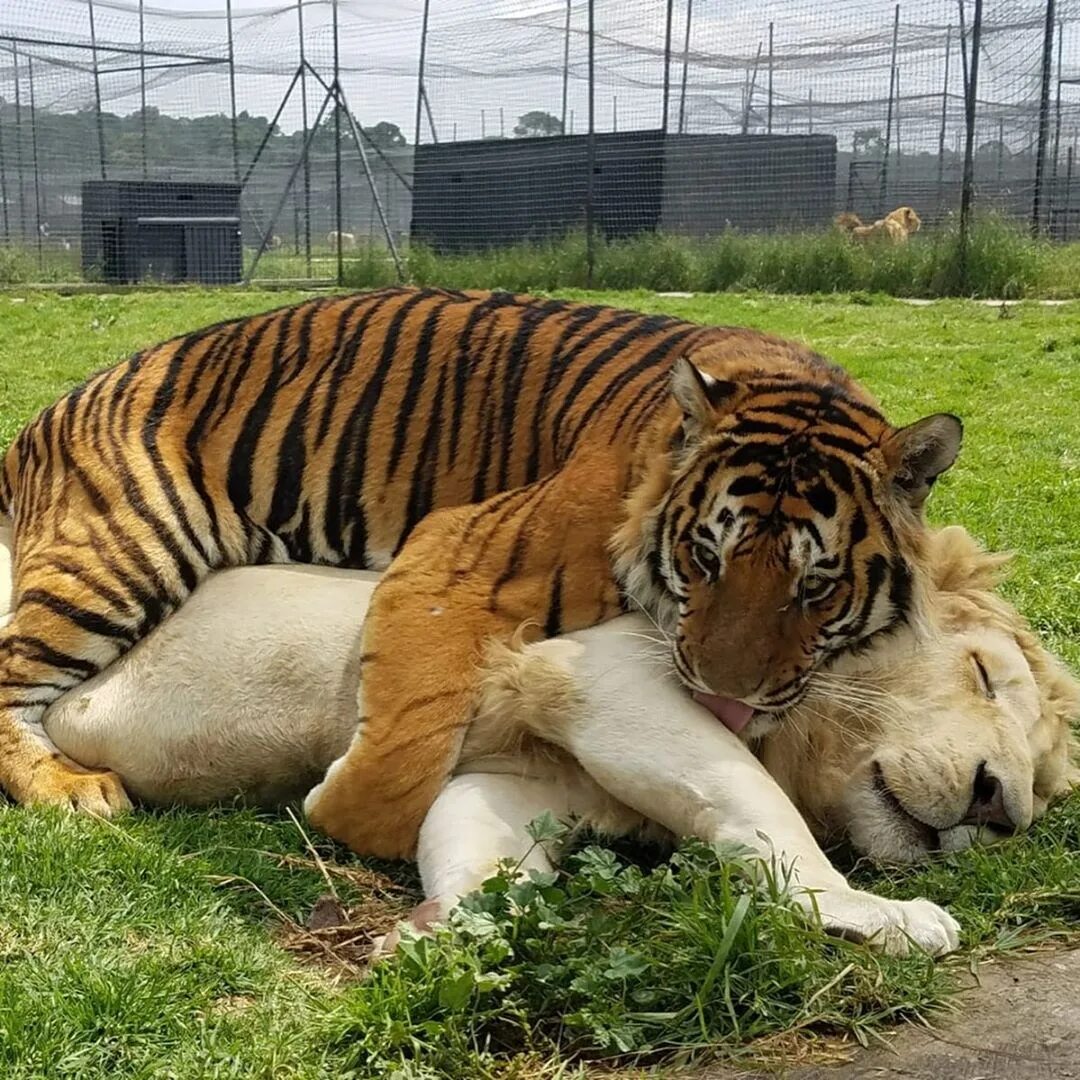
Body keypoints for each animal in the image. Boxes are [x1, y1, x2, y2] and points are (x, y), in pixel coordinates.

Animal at [0, 289, 963, 859]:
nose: (725, 697)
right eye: (705, 557)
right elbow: (406, 743)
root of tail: (51, 410)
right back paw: (74, 791)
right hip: (126, 546)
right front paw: (341, 811)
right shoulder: (457, 556)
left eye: (816, 587)